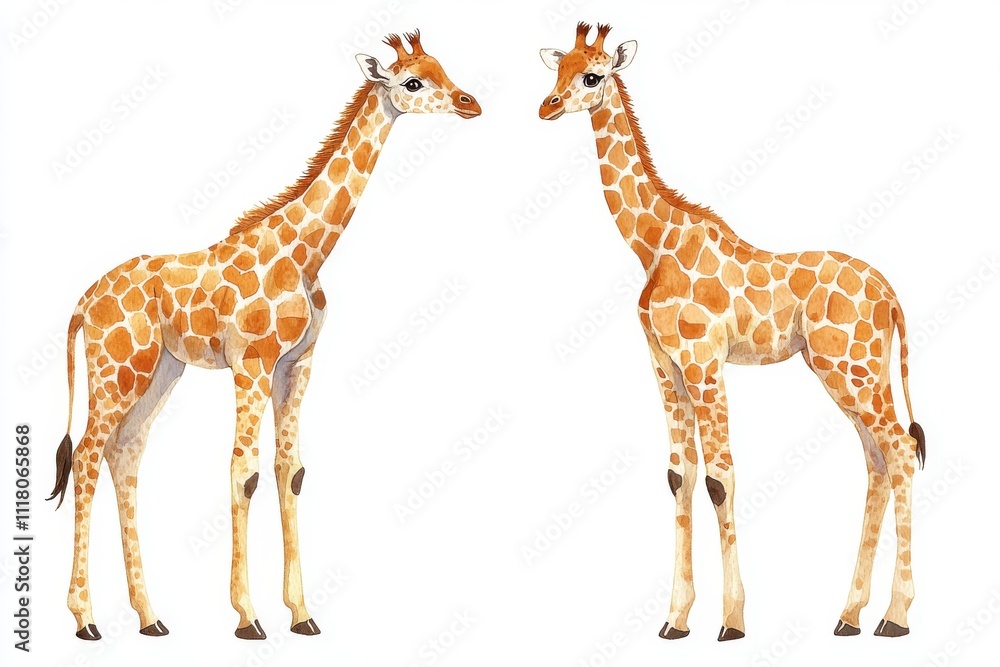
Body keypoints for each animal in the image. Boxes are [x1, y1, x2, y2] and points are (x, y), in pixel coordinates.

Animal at [47, 30, 481, 641]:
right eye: (412, 81)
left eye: (442, 66)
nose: (470, 102)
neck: (305, 253)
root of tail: (83, 303)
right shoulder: (251, 363)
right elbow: (244, 473)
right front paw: (248, 617)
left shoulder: (296, 363)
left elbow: (290, 470)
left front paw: (302, 613)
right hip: (118, 368)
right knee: (86, 455)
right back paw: (85, 619)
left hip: (160, 370)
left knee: (123, 453)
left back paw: (150, 617)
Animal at [538, 22, 925, 641]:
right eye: (557, 70)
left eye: (593, 75)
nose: (547, 105)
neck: (653, 244)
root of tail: (890, 294)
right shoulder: (664, 363)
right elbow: (679, 474)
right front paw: (674, 620)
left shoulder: (703, 360)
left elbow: (721, 477)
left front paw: (733, 621)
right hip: (846, 370)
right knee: (879, 460)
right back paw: (848, 615)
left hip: (853, 368)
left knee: (902, 451)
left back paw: (895, 616)